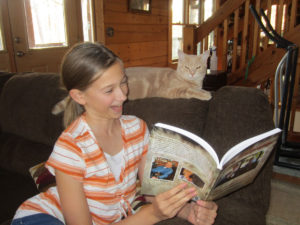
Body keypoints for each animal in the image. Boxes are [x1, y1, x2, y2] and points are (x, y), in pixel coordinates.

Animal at [51, 50, 210, 115]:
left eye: (198, 67)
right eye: (186, 67)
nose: (192, 73)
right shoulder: (171, 91)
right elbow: (189, 91)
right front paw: (205, 94)